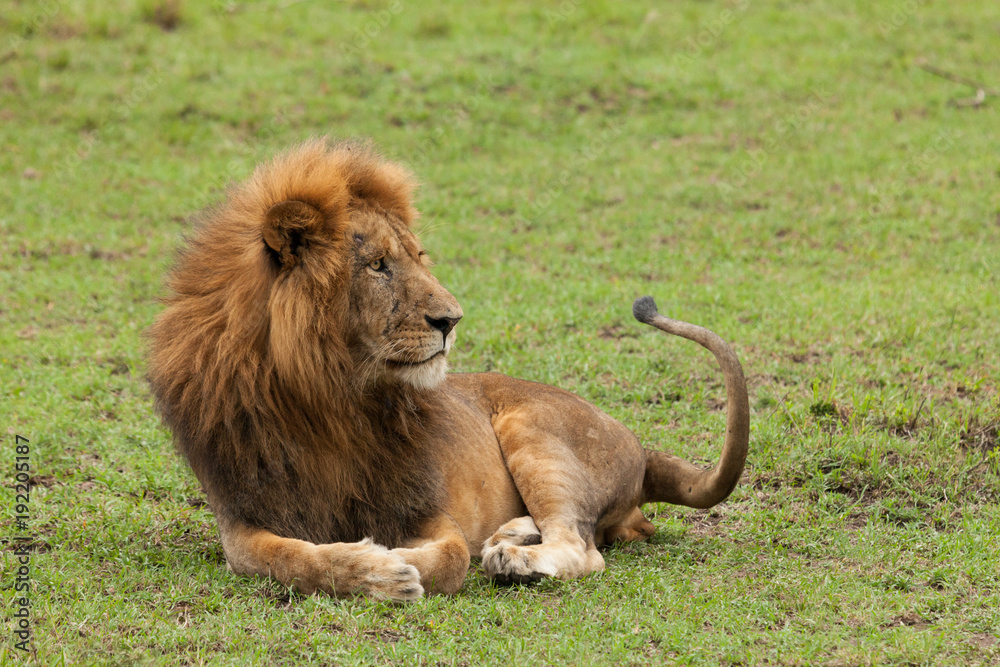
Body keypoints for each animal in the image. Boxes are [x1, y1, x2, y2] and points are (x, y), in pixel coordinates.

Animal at [147, 138, 749, 600]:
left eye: (417, 257)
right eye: (378, 265)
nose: (451, 319)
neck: (329, 400)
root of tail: (641, 450)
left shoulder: (426, 510)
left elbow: (450, 557)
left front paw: (392, 569)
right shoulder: (243, 523)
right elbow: (292, 560)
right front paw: (370, 569)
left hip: (534, 429)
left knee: (581, 547)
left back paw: (513, 558)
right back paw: (512, 533)